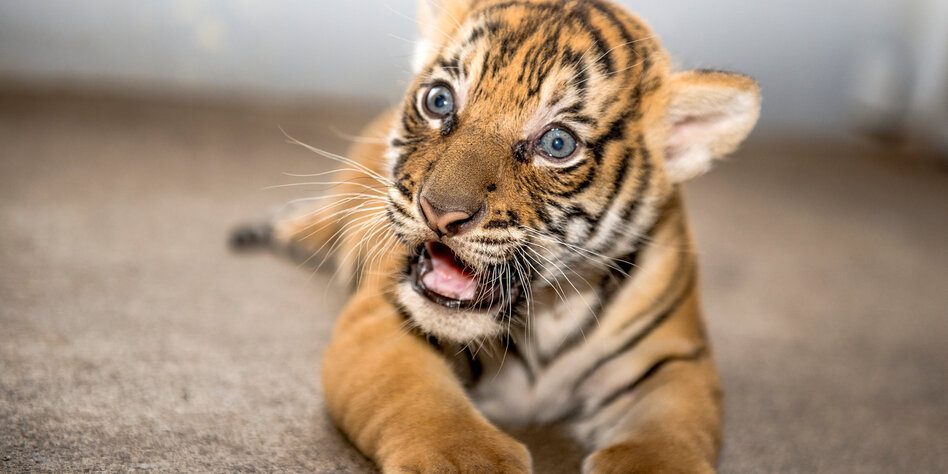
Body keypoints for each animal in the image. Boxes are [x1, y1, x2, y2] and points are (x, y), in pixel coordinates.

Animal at [231, 0, 760, 471]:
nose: (440, 213)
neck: (547, 312)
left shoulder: (675, 362)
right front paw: (469, 459)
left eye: (557, 143)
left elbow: (667, 444)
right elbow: (426, 408)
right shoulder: (381, 321)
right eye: (439, 101)